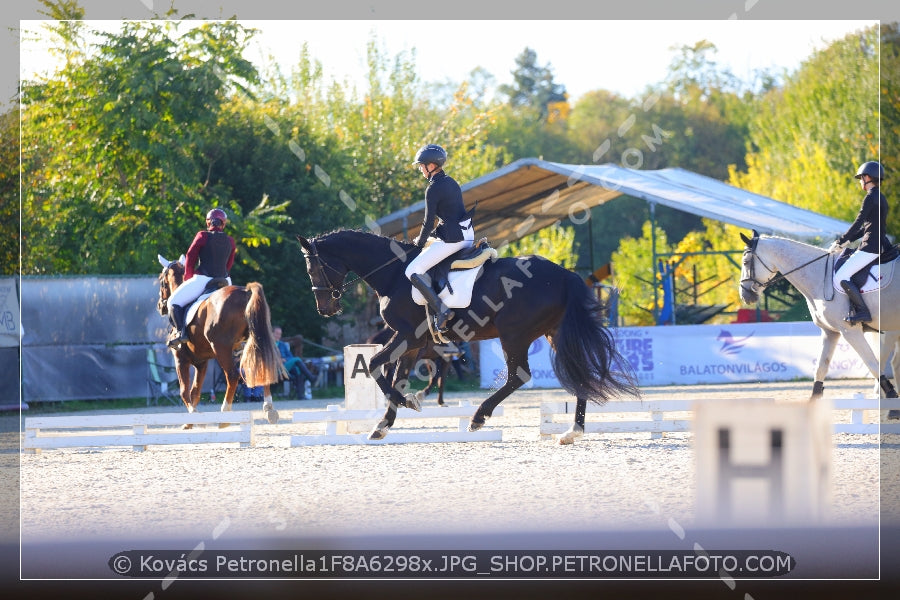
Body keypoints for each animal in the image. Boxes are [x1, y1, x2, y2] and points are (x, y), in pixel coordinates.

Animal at [156, 255, 284, 424]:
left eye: (161, 280)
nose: (160, 306)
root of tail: (246, 292)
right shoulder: (201, 362)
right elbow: (195, 391)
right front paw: (190, 423)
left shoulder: (181, 359)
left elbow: (184, 392)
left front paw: (193, 416)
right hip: (255, 341)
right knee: (262, 366)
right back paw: (269, 409)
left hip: (221, 348)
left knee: (233, 375)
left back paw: (225, 414)